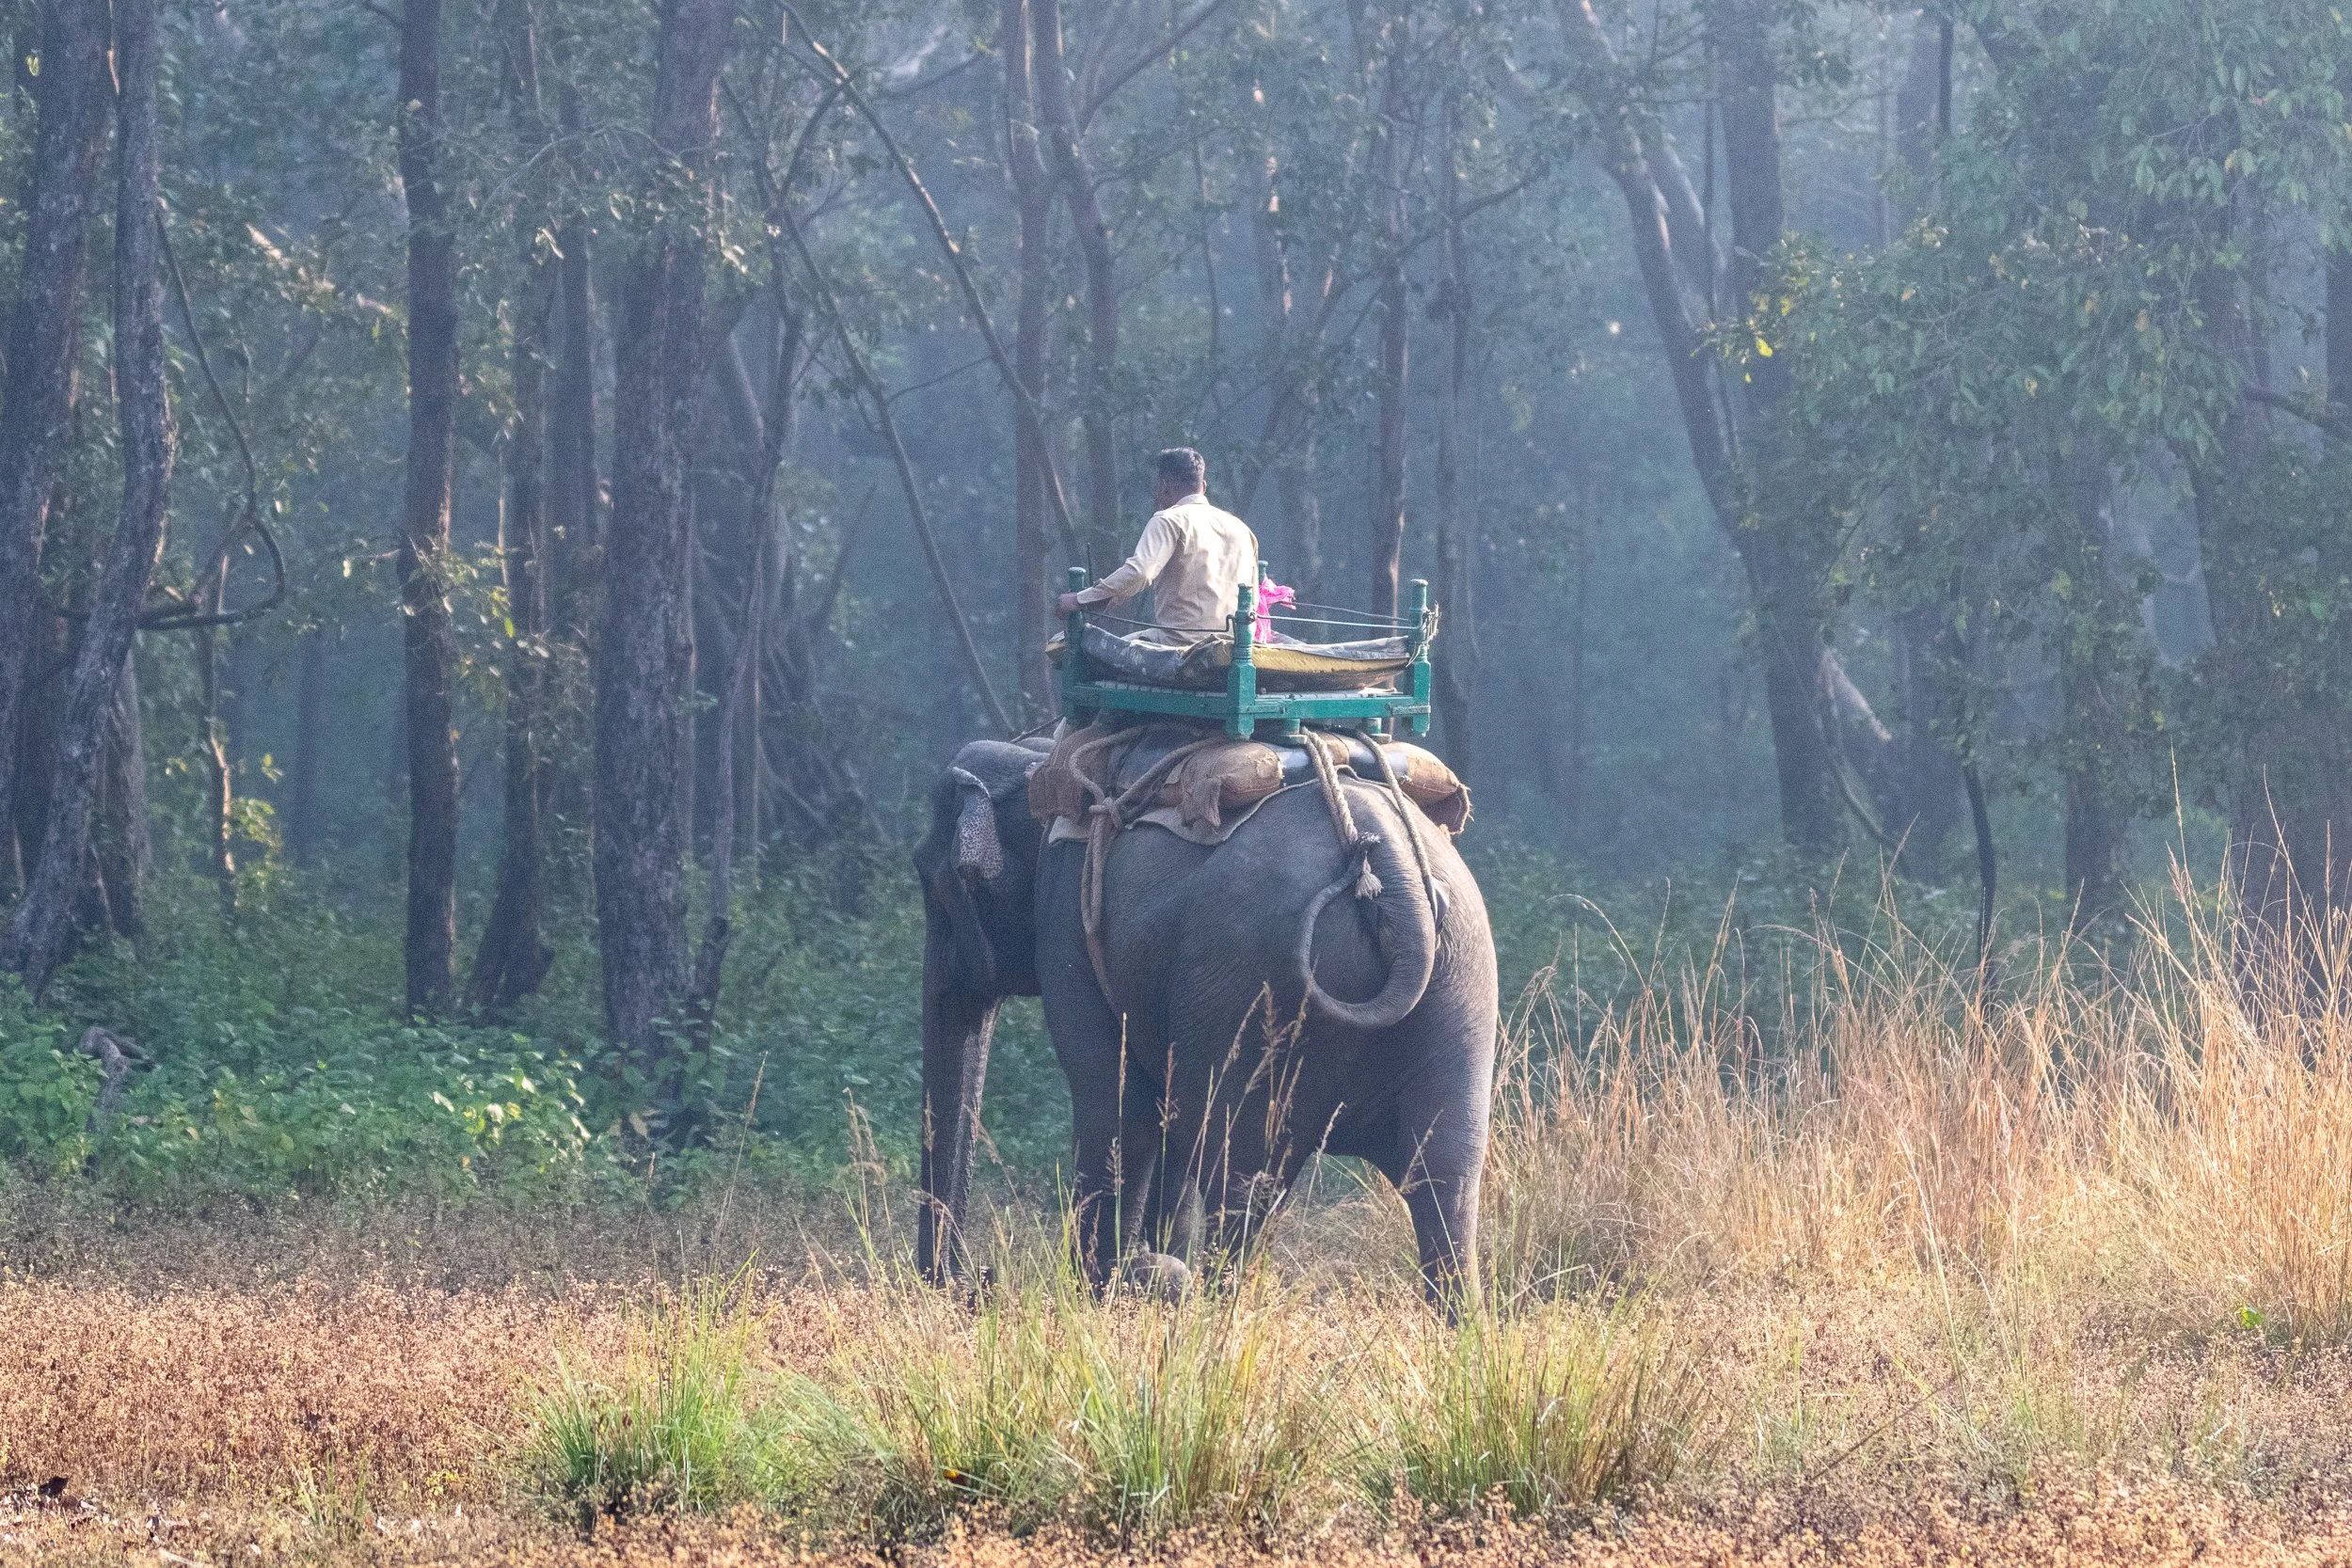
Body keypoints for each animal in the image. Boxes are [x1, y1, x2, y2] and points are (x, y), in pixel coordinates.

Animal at [913, 728, 1499, 1303]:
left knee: (1240, 1173)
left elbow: (1114, 1100)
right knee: (1446, 1175)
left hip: (1246, 985)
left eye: (927, 877)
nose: (977, 1278)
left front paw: (1107, 1287)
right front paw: (1142, 1272)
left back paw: (1214, 1308)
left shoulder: (1068, 923)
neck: (1035, 759)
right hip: (1461, 985)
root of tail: (1393, 877)